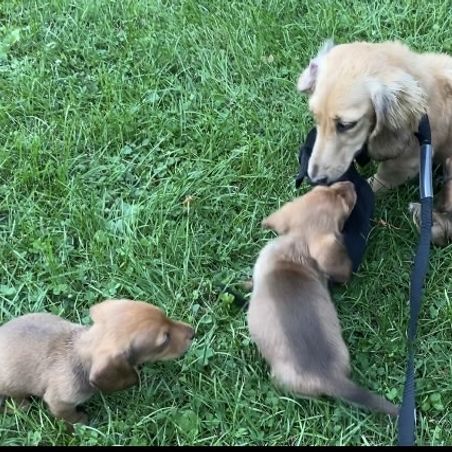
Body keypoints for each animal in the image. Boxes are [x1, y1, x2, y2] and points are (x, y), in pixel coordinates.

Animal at [0, 299, 195, 426]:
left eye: (165, 316)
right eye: (165, 339)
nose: (193, 332)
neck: (77, 351)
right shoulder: (59, 401)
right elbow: (68, 416)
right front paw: (81, 422)